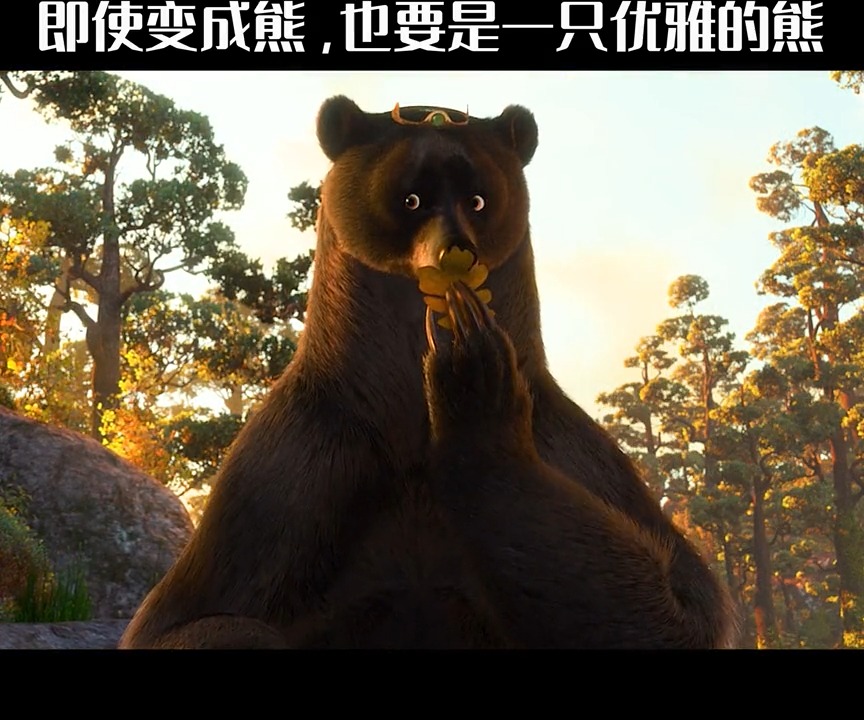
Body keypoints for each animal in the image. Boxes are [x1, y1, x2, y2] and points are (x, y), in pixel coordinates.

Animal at [118, 96, 737, 649]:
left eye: (479, 199)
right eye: (410, 197)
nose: (455, 252)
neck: (410, 416)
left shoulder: (570, 454)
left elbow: (677, 607)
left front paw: (474, 375)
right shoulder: (297, 472)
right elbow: (191, 618)